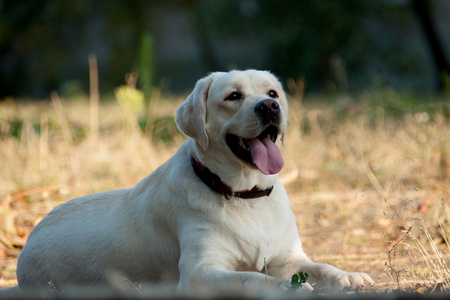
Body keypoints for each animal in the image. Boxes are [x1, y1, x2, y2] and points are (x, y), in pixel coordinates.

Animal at [14, 69, 372, 292]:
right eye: (233, 96)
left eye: (273, 93)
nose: (270, 106)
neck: (244, 194)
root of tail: (29, 237)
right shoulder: (200, 272)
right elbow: (250, 278)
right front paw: (284, 286)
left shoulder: (289, 257)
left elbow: (322, 267)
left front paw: (349, 276)